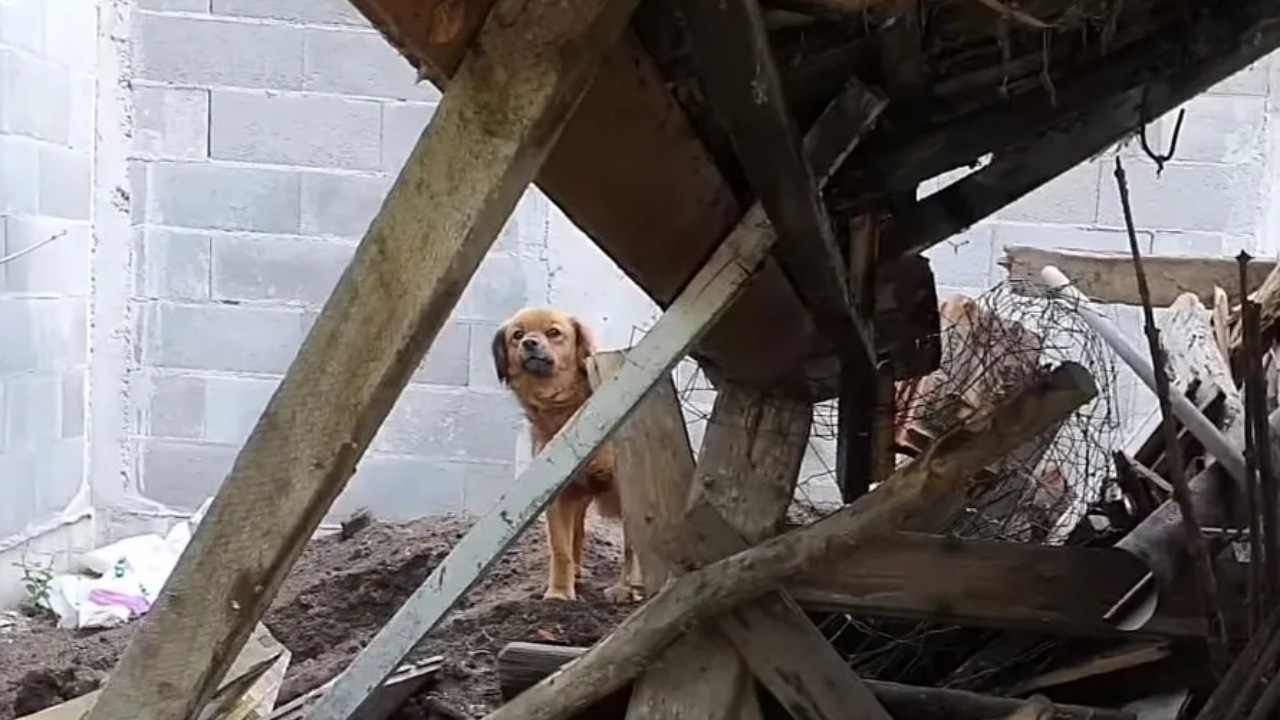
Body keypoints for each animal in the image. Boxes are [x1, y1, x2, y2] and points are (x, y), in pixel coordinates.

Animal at [494, 303, 645, 599]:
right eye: (517, 335)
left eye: (554, 332)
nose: (529, 343)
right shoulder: (558, 494)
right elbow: (560, 548)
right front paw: (559, 594)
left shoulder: (626, 488)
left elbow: (632, 546)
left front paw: (626, 588)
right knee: (577, 533)